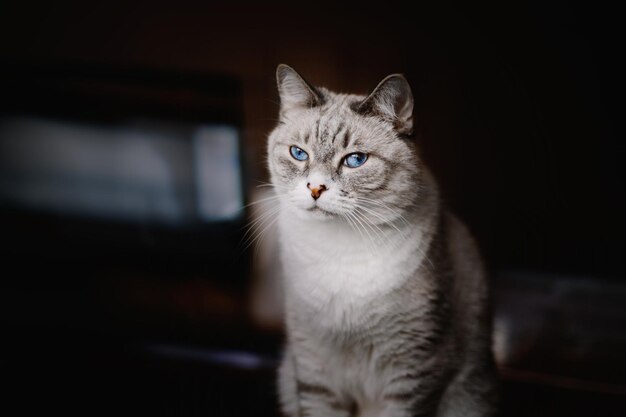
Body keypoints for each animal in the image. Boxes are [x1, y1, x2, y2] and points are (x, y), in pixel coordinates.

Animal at [264, 64, 498, 416]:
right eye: (298, 154)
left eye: (355, 160)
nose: (315, 188)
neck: (337, 253)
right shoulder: (314, 365)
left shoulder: (413, 369)